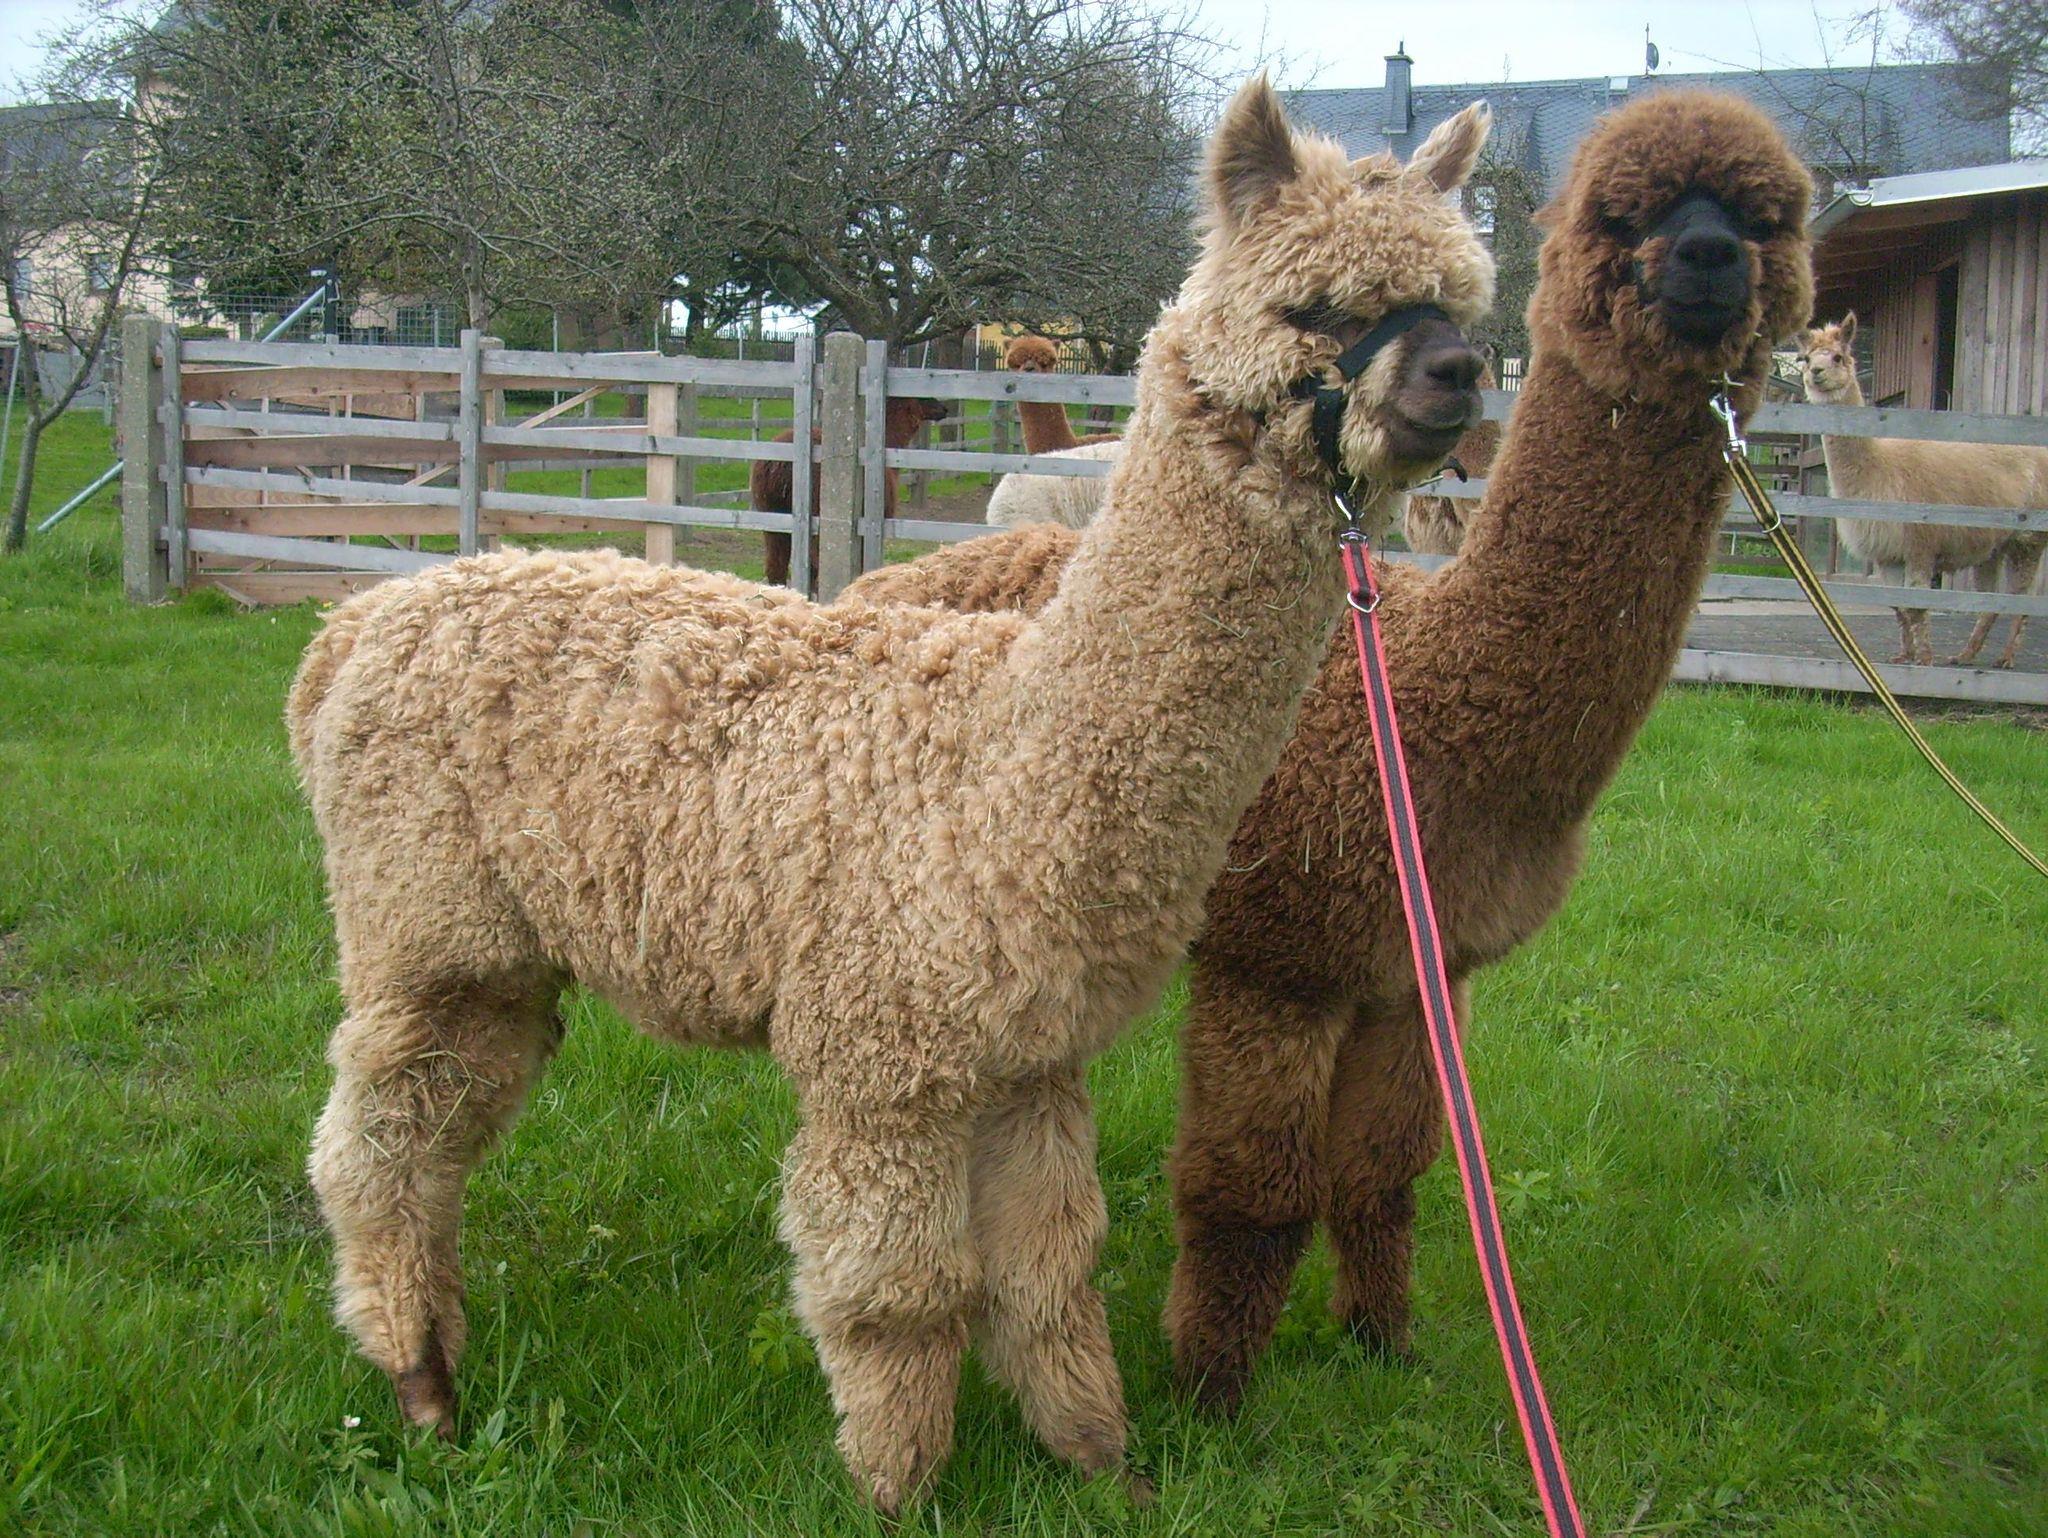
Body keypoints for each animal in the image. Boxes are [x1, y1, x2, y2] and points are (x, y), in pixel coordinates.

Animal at [847, 88, 1817, 1412]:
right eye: (1623, 218)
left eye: (1767, 218)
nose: (1711, 259)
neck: (1436, 706)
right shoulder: (1281, 955)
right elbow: (1250, 1189)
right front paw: (1211, 1393)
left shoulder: (1420, 967)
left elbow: (1381, 1169)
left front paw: (1383, 1345)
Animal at [1796, 312, 2048, 667]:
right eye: (1805, 358)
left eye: (1837, 357)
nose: (1816, 373)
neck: (1879, 471)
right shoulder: (1888, 553)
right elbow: (1900, 608)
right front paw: (1904, 655)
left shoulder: (1920, 545)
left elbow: (1917, 606)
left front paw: (1924, 659)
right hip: (1995, 544)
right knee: (1990, 598)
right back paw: (1965, 655)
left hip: (2029, 538)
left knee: (2021, 598)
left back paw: (2006, 658)